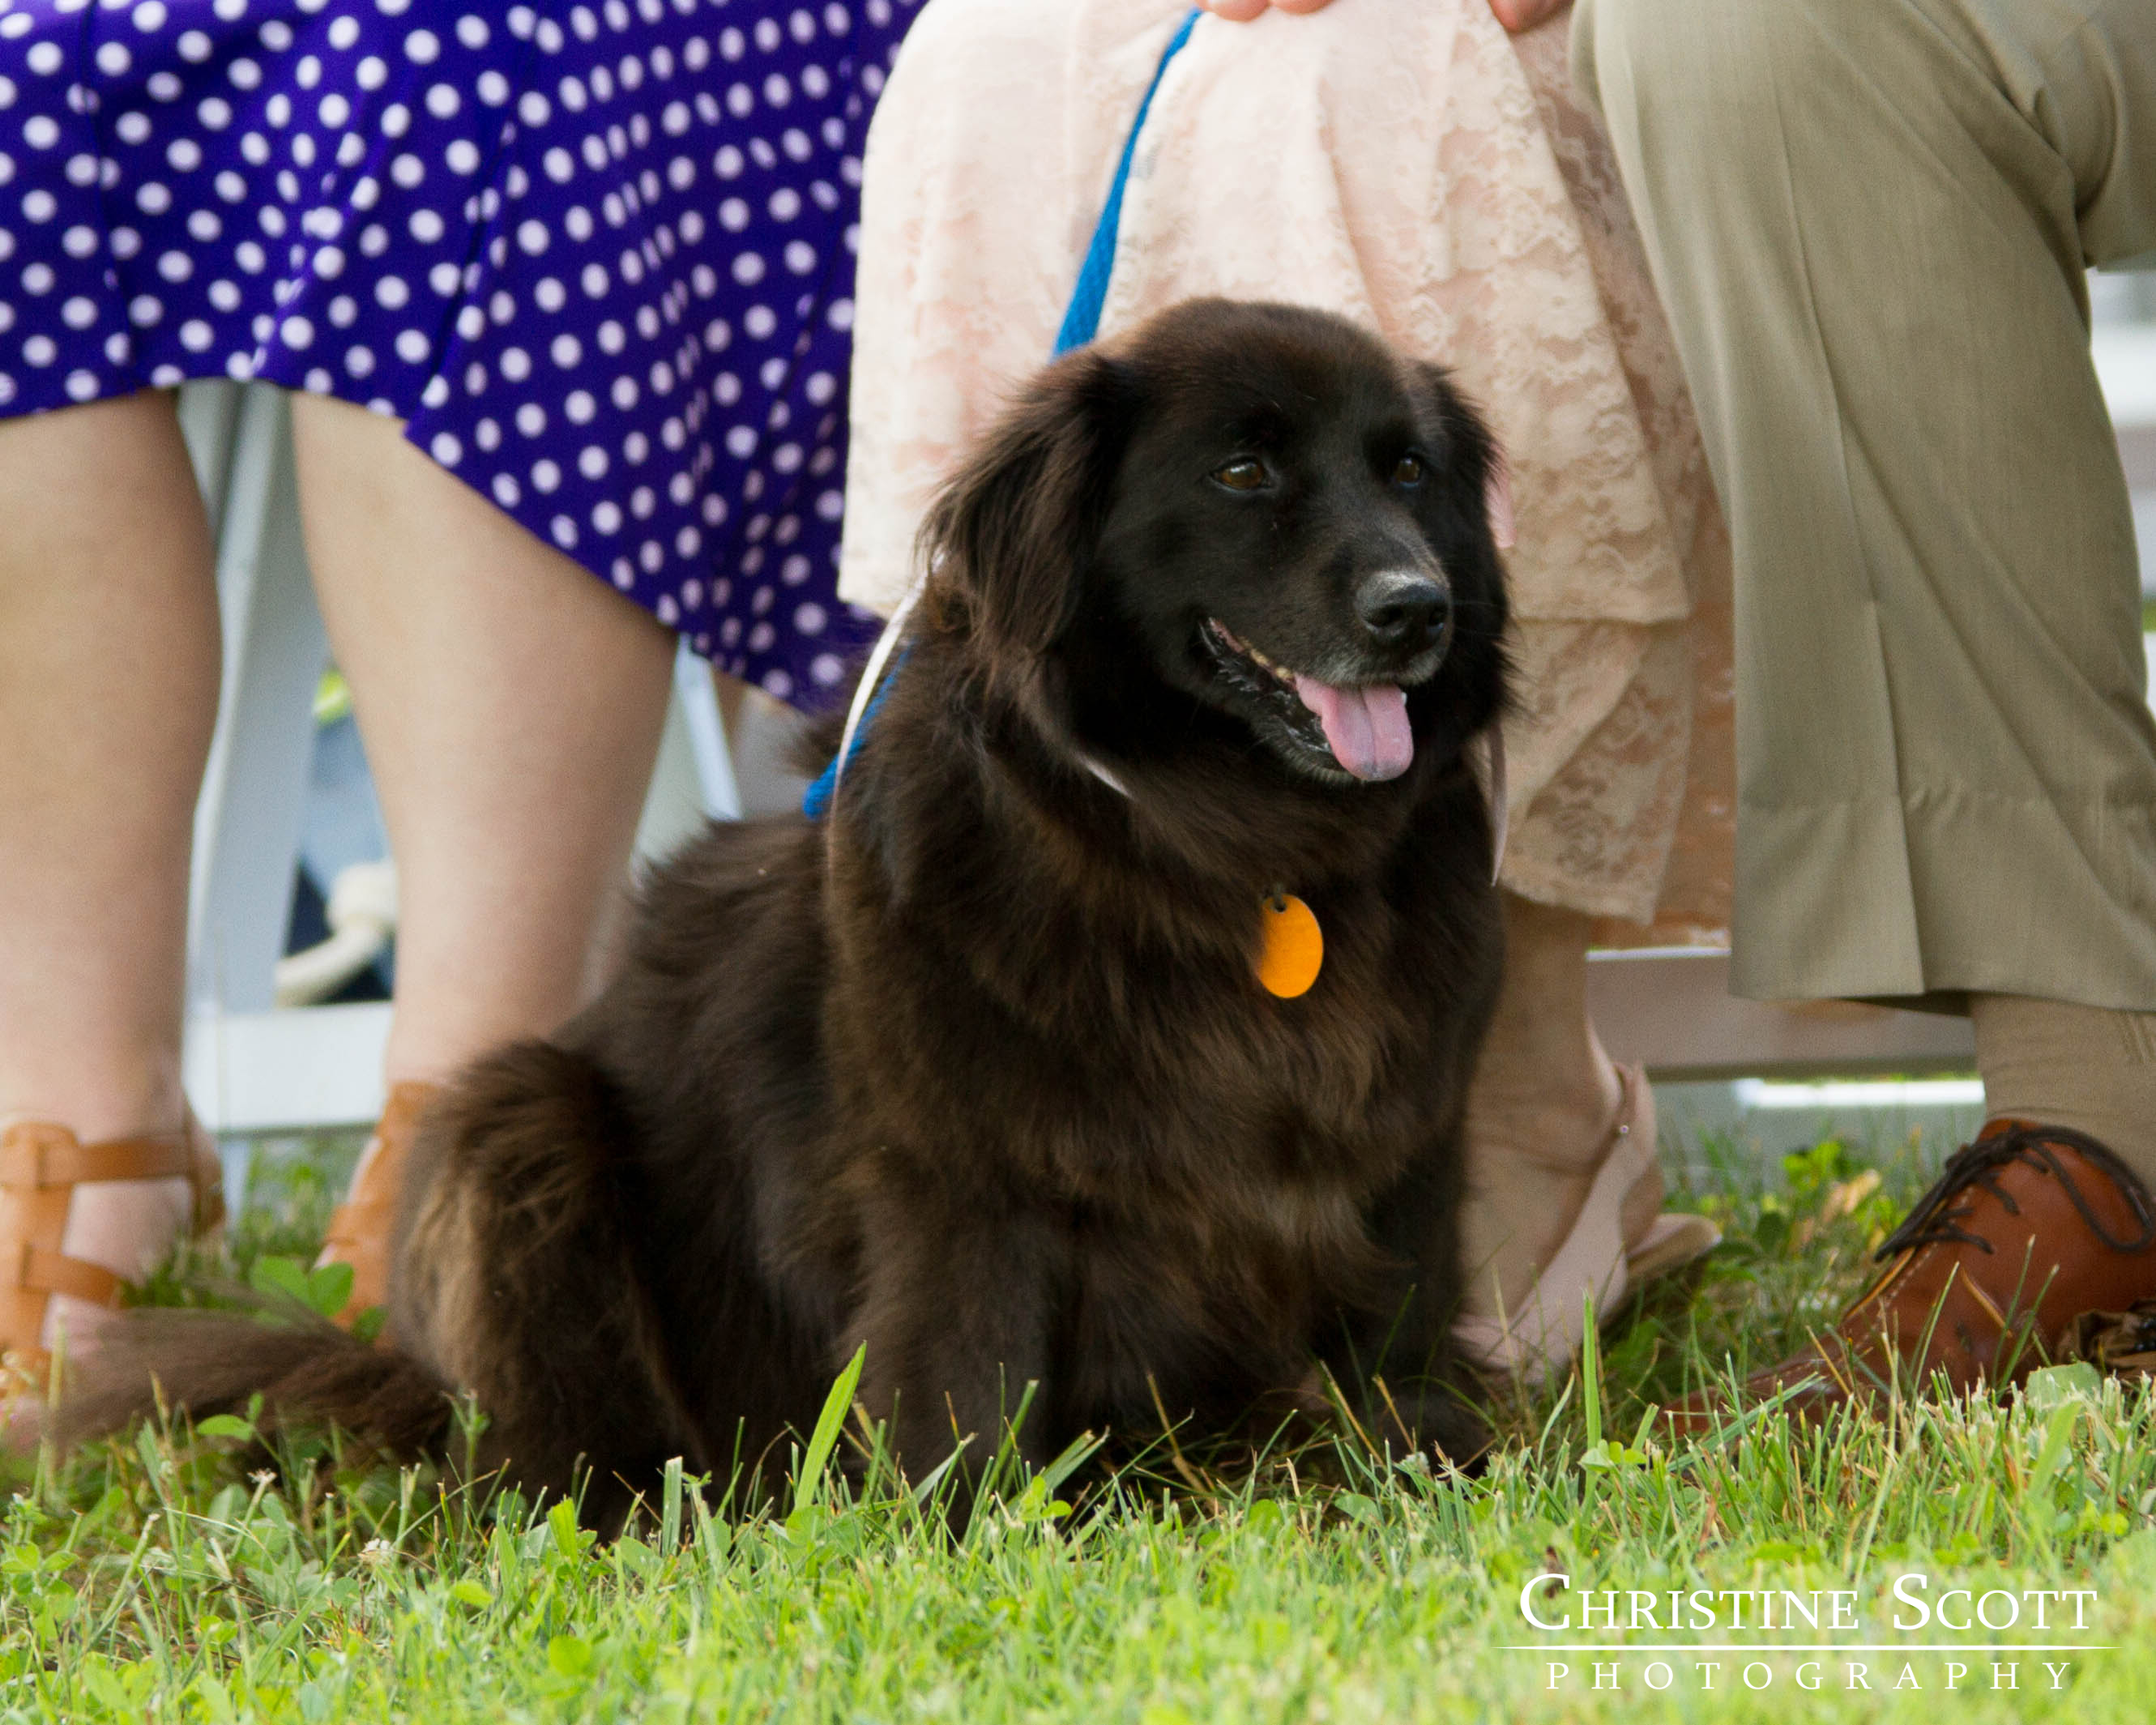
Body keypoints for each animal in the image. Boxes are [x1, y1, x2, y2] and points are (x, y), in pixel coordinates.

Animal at [59, 298, 1511, 1523]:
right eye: (1242, 473)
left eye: (1407, 472)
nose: (1416, 609)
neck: (1225, 848)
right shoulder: (955, 1188)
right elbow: (965, 1398)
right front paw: (965, 1537)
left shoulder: (1406, 1162)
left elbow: (1400, 1357)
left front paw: (1427, 1464)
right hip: (513, 1127)